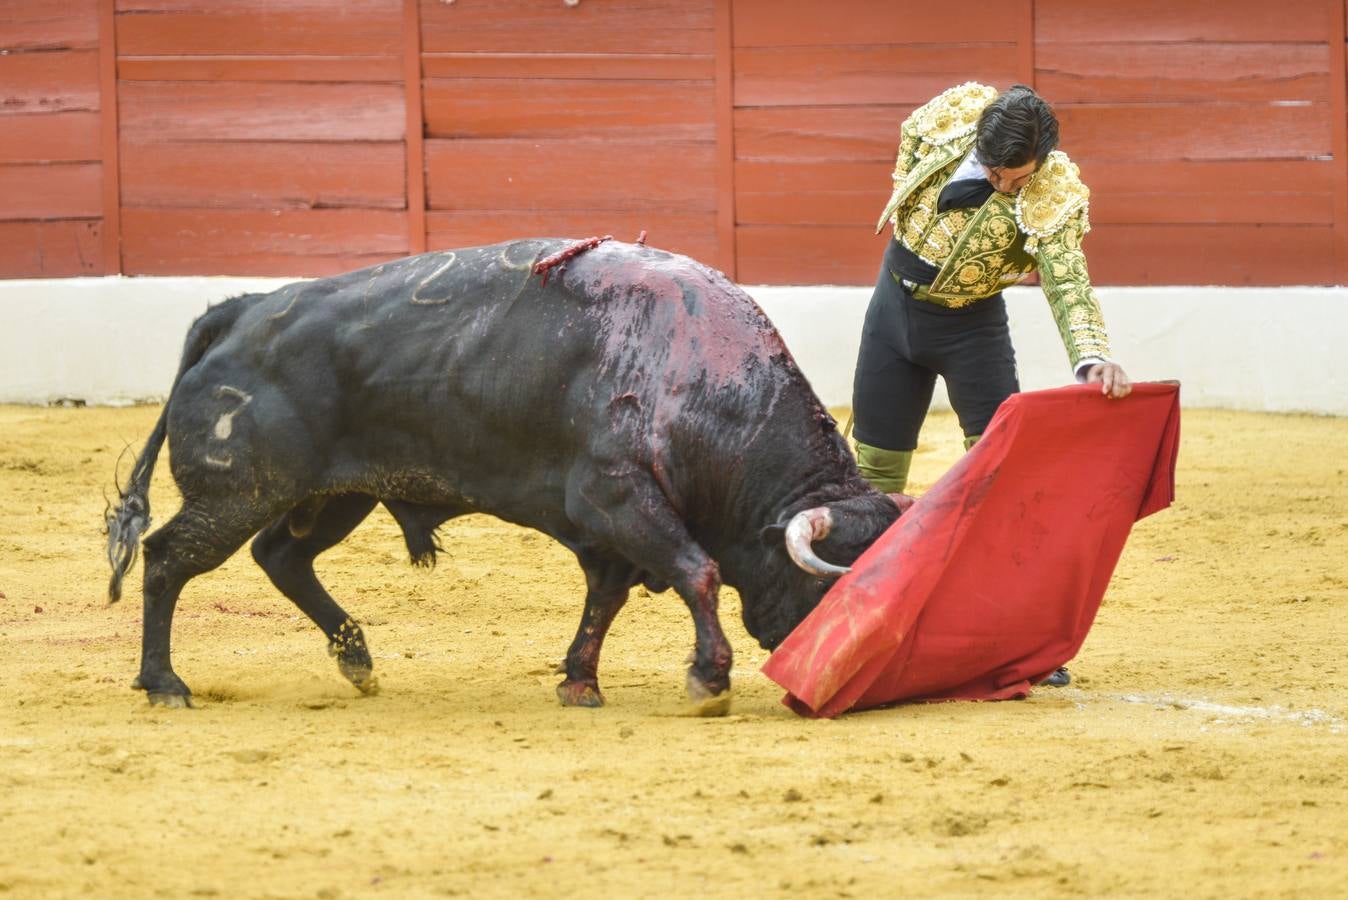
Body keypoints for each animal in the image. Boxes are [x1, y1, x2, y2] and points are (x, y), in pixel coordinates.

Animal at [107, 237, 905, 711]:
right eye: (828, 585)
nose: (826, 674)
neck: (700, 376)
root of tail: (240, 313)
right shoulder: (618, 499)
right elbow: (696, 571)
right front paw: (708, 679)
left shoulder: (608, 526)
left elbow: (607, 597)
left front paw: (580, 682)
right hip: (240, 492)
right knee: (167, 557)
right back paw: (165, 684)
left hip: (335, 494)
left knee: (281, 557)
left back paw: (357, 659)